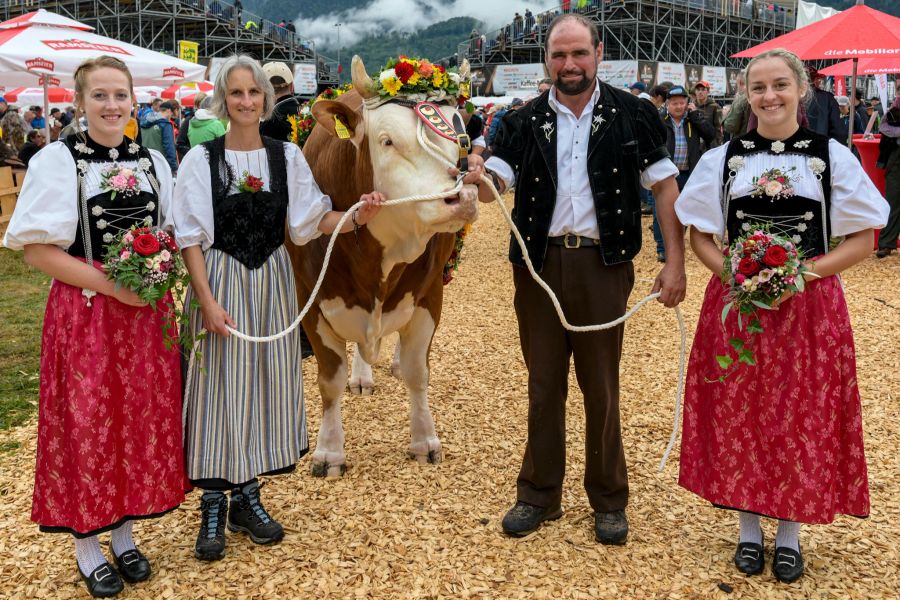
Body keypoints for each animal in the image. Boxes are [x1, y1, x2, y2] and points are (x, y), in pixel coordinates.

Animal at [290, 57, 482, 478]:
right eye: (387, 140)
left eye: (459, 138)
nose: (461, 197)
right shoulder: (311, 301)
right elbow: (330, 380)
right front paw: (329, 451)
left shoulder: (429, 296)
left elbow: (417, 371)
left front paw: (424, 440)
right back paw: (362, 376)